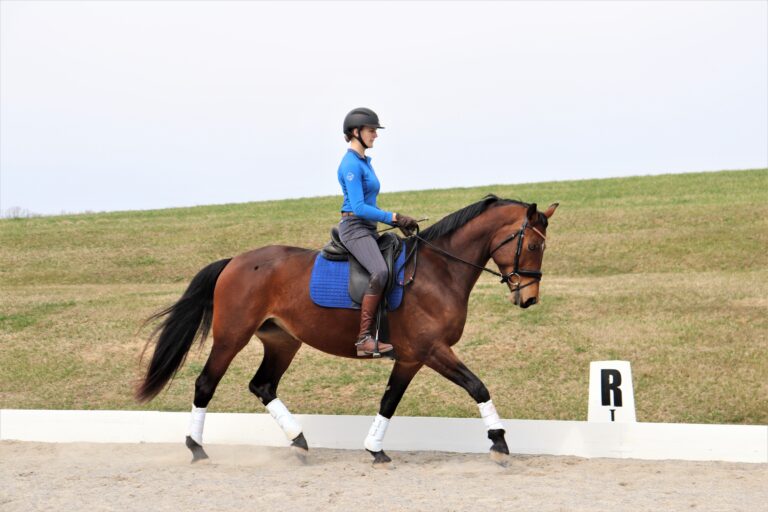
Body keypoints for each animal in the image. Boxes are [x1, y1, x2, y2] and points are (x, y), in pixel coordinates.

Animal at [136, 195, 558, 464]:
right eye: (533, 246)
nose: (529, 299)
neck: (439, 271)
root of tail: (235, 261)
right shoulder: (432, 349)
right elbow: (477, 386)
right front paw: (499, 443)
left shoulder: (410, 357)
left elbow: (389, 402)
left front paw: (375, 449)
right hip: (231, 337)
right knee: (206, 383)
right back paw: (196, 448)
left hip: (282, 340)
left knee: (263, 385)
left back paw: (299, 441)